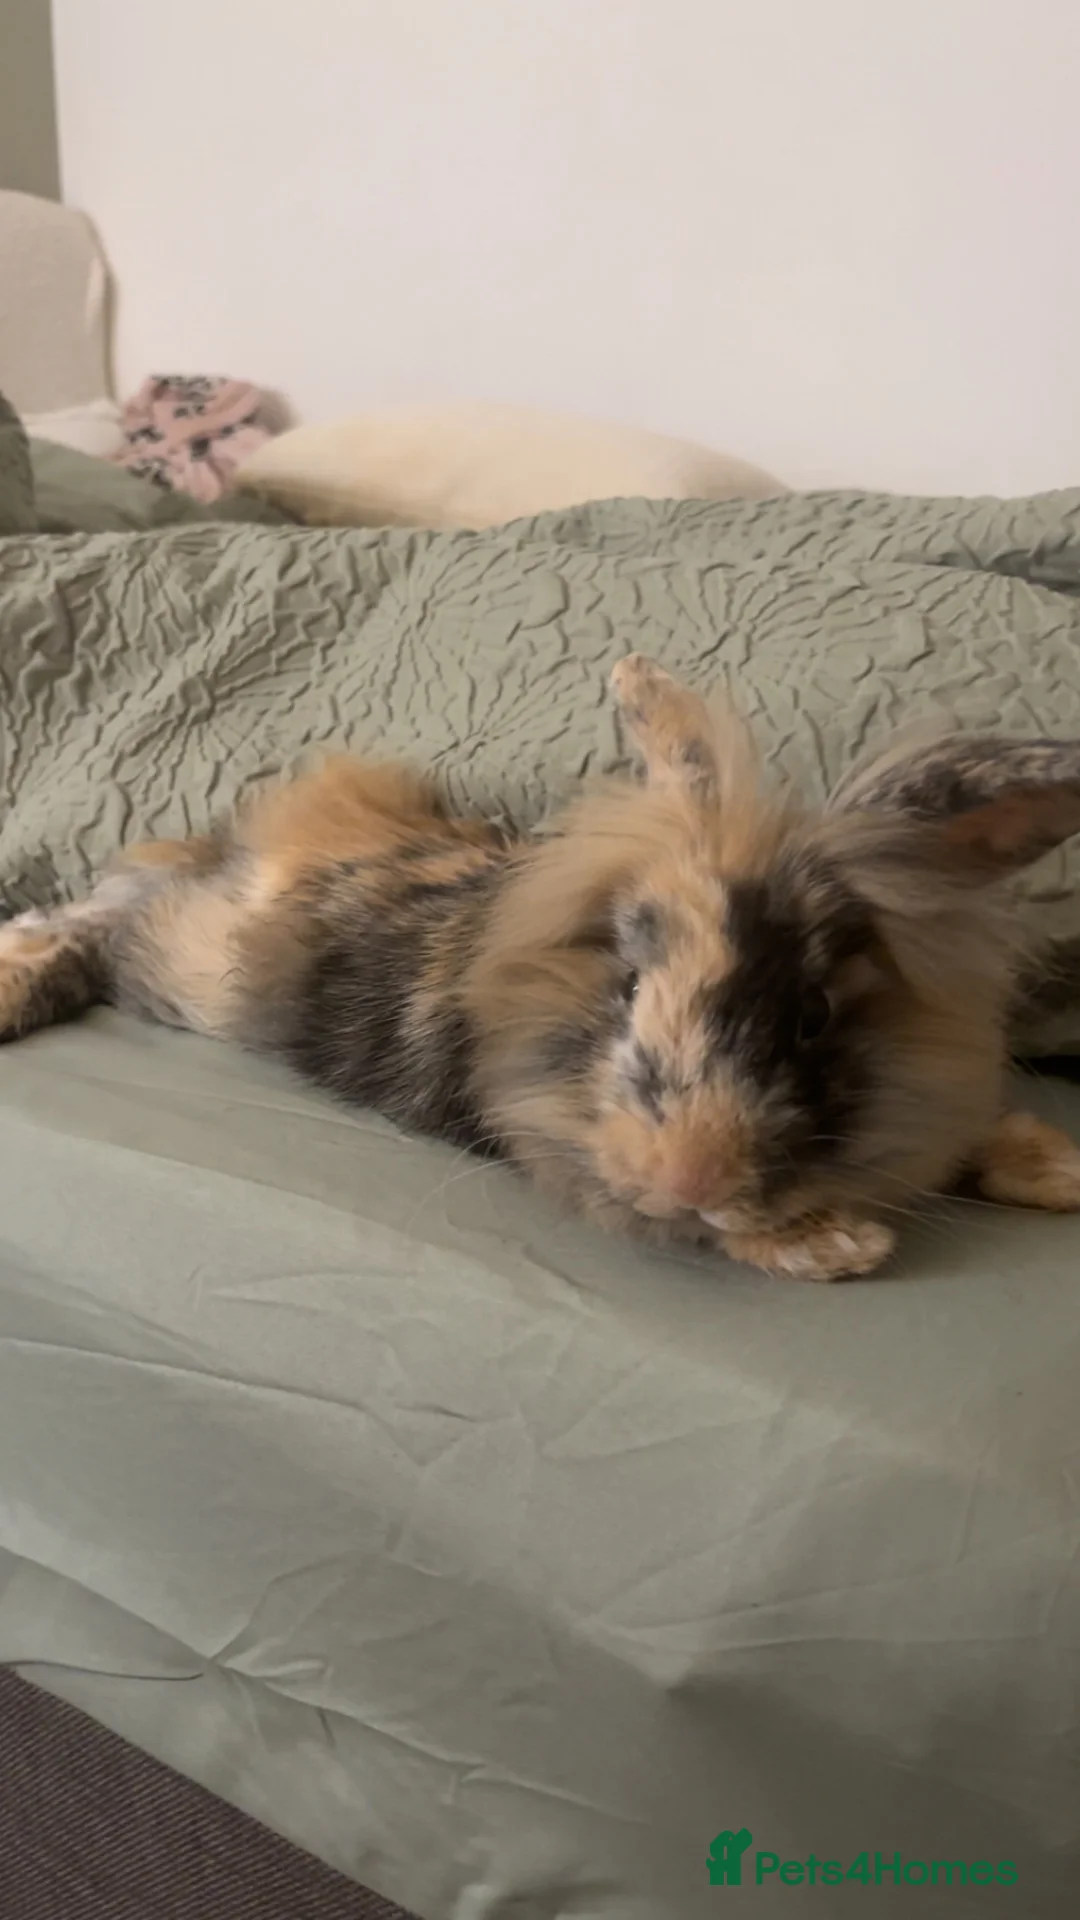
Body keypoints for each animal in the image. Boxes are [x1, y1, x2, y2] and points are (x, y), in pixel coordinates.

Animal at [3, 652, 1080, 1283]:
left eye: (814, 1013)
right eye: (628, 987)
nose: (691, 1172)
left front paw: (1054, 1170)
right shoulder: (541, 1132)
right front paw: (834, 1246)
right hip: (180, 952)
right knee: (89, 920)